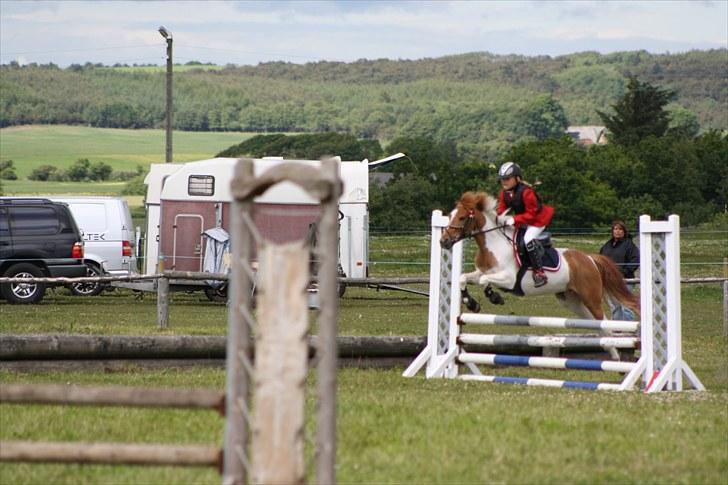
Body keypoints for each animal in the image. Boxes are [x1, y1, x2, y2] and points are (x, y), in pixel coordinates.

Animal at [438, 190, 636, 322]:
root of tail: (589, 259)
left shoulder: (509, 279)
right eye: (450, 215)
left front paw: (494, 297)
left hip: (591, 298)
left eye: (462, 217)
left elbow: (484, 281)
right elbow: (464, 278)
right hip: (571, 300)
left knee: (605, 324)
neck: (493, 245)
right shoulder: (482, 271)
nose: (443, 241)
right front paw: (471, 303)